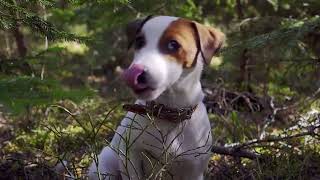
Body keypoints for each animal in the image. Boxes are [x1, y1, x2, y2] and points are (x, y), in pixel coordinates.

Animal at [89, 15, 225, 180]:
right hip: (106, 163)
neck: (168, 115)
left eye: (173, 44)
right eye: (139, 41)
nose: (133, 73)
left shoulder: (194, 169)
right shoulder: (131, 157)